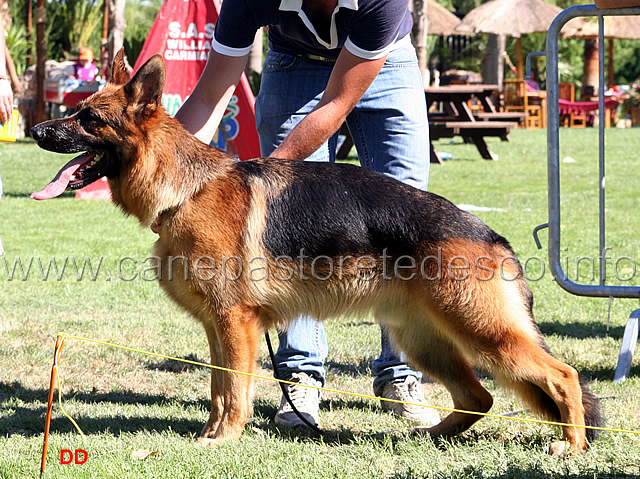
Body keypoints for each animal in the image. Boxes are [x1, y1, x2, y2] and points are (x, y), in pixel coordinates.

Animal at [28, 50, 600, 456]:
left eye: (88, 119)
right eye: (73, 111)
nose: (34, 129)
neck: (186, 188)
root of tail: (491, 235)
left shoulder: (236, 324)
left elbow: (234, 389)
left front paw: (223, 439)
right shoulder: (220, 328)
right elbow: (218, 387)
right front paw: (212, 433)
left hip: (484, 333)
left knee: (563, 376)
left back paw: (571, 446)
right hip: (426, 341)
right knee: (479, 398)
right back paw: (432, 434)